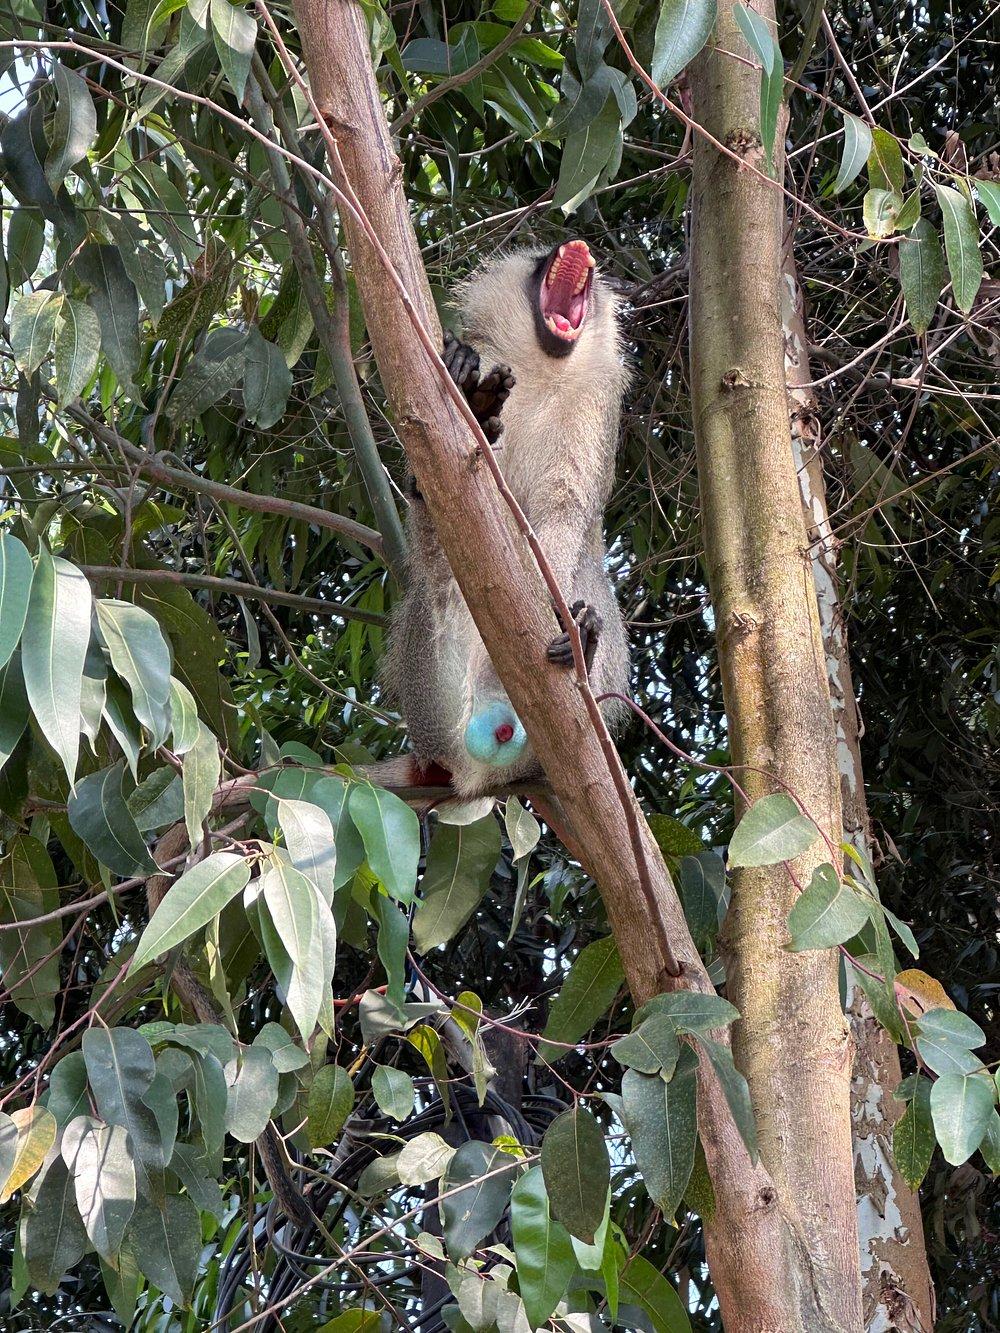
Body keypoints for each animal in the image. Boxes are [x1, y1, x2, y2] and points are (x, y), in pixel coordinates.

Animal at [380, 238, 631, 799]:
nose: (575, 243)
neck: (543, 370)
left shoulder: (595, 412)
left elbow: (564, 514)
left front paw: (569, 625)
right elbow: (428, 474)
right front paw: (464, 370)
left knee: (587, 580)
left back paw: (584, 641)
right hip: (432, 688)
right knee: (433, 580)